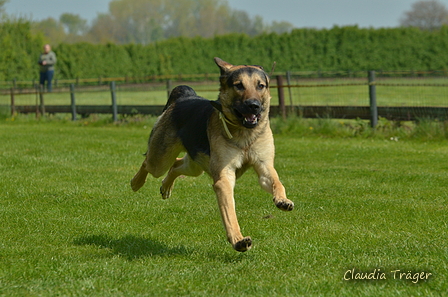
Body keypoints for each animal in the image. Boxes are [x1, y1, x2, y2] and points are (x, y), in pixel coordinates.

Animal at [130, 57, 294, 250]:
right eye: (239, 85)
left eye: (260, 85)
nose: (254, 106)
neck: (244, 133)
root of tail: (185, 96)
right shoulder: (224, 178)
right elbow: (229, 213)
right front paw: (238, 240)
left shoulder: (264, 166)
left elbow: (277, 182)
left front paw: (282, 200)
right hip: (161, 160)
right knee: (148, 162)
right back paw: (136, 182)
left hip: (195, 166)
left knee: (176, 165)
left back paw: (166, 187)